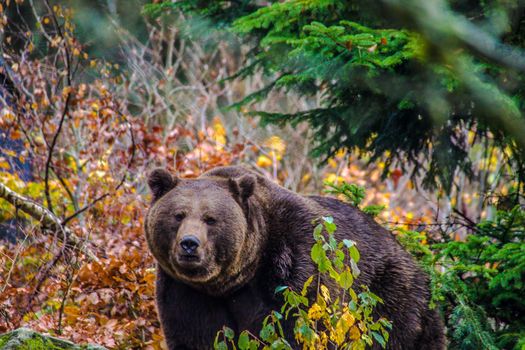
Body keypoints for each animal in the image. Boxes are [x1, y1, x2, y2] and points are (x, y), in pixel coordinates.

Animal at [143, 165, 442, 348]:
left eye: (210, 219)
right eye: (178, 215)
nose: (189, 244)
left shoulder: (294, 268)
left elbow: (297, 329)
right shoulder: (186, 294)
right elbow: (195, 336)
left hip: (389, 300)